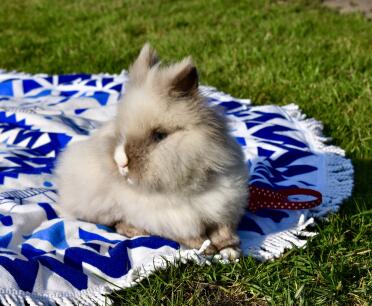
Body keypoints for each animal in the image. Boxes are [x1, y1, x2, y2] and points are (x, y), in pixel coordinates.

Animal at [55, 43, 248, 258]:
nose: (121, 162)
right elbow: (193, 237)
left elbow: (224, 231)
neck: (192, 186)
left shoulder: (225, 206)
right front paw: (207, 249)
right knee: (116, 223)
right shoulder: (174, 221)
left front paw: (231, 251)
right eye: (120, 133)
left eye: (159, 136)